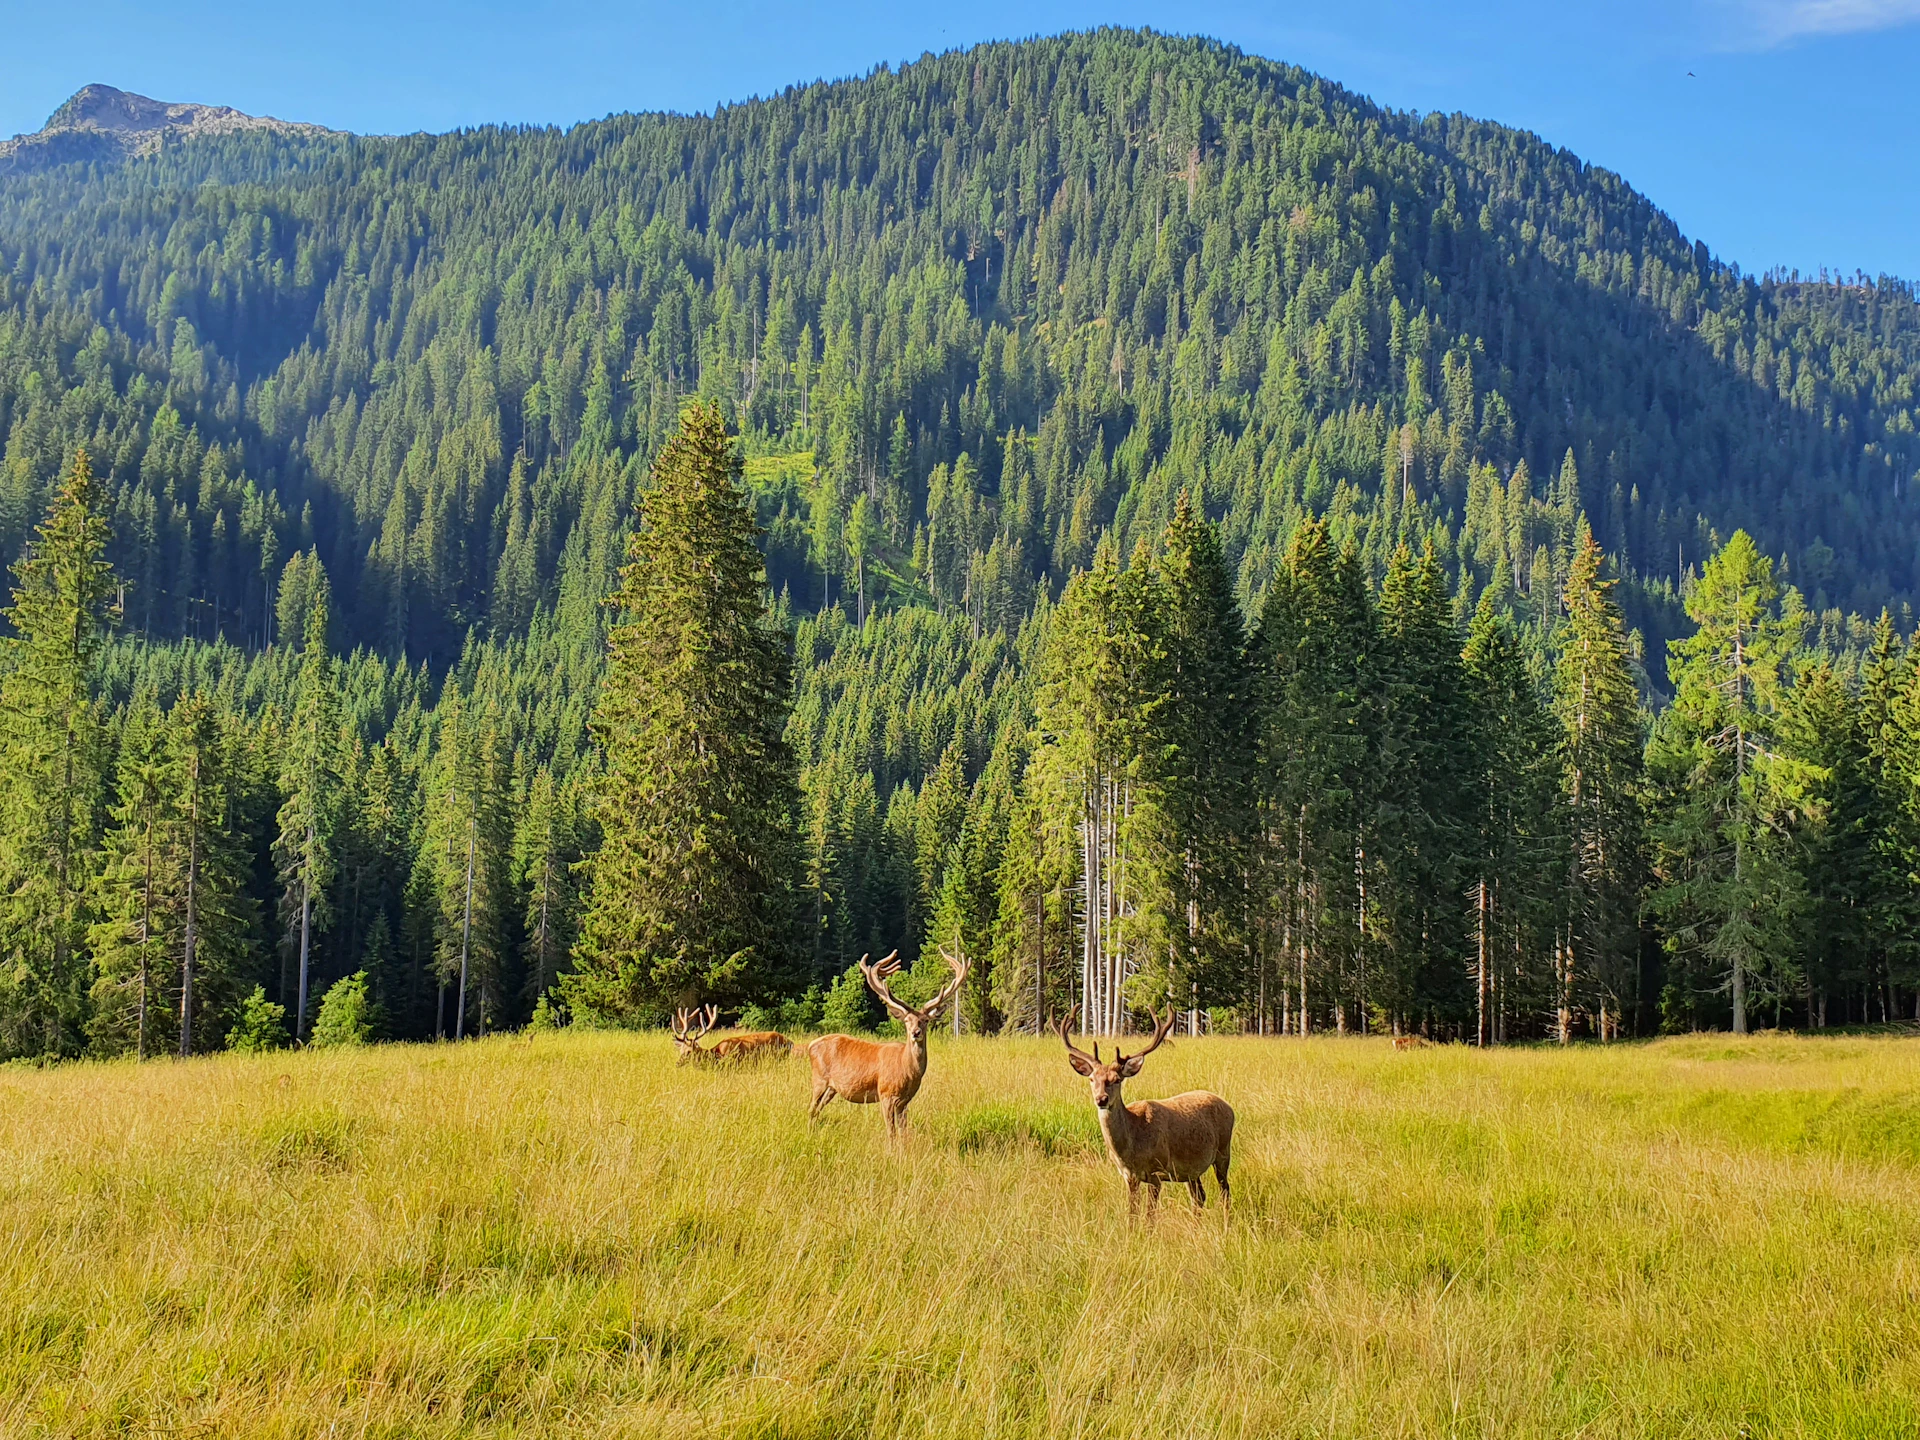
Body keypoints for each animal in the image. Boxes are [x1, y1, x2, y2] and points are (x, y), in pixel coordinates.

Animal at [807, 948, 968, 1137]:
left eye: (926, 1020)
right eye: (907, 1020)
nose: (916, 1033)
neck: (907, 1070)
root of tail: (810, 1045)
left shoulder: (904, 1101)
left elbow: (903, 1132)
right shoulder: (886, 1093)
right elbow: (891, 1132)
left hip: (832, 1088)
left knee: (817, 1110)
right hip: (819, 1079)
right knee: (811, 1108)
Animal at [1058, 1006, 1234, 1218]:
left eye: (1117, 1079)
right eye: (1092, 1079)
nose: (1101, 1099)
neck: (1131, 1147)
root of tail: (1229, 1106)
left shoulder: (1156, 1171)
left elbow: (1150, 1215)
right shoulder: (1129, 1176)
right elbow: (1132, 1214)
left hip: (1223, 1152)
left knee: (1225, 1193)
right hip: (1191, 1170)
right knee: (1199, 1197)